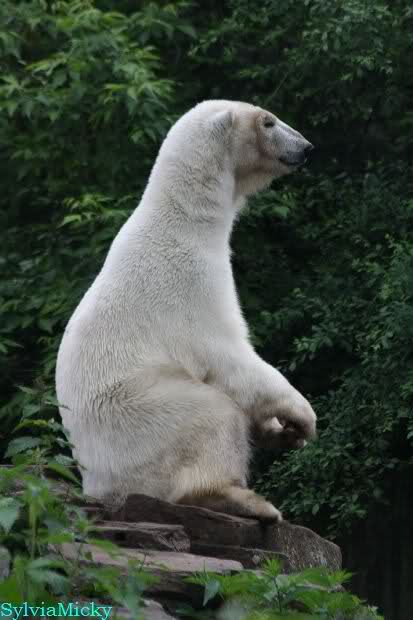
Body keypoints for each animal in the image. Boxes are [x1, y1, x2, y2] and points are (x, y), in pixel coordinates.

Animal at [55, 100, 316, 521]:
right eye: (269, 121)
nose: (306, 148)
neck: (184, 220)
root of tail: (98, 487)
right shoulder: (192, 283)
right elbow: (231, 359)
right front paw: (302, 417)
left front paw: (280, 433)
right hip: (140, 417)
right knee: (209, 415)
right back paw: (245, 501)